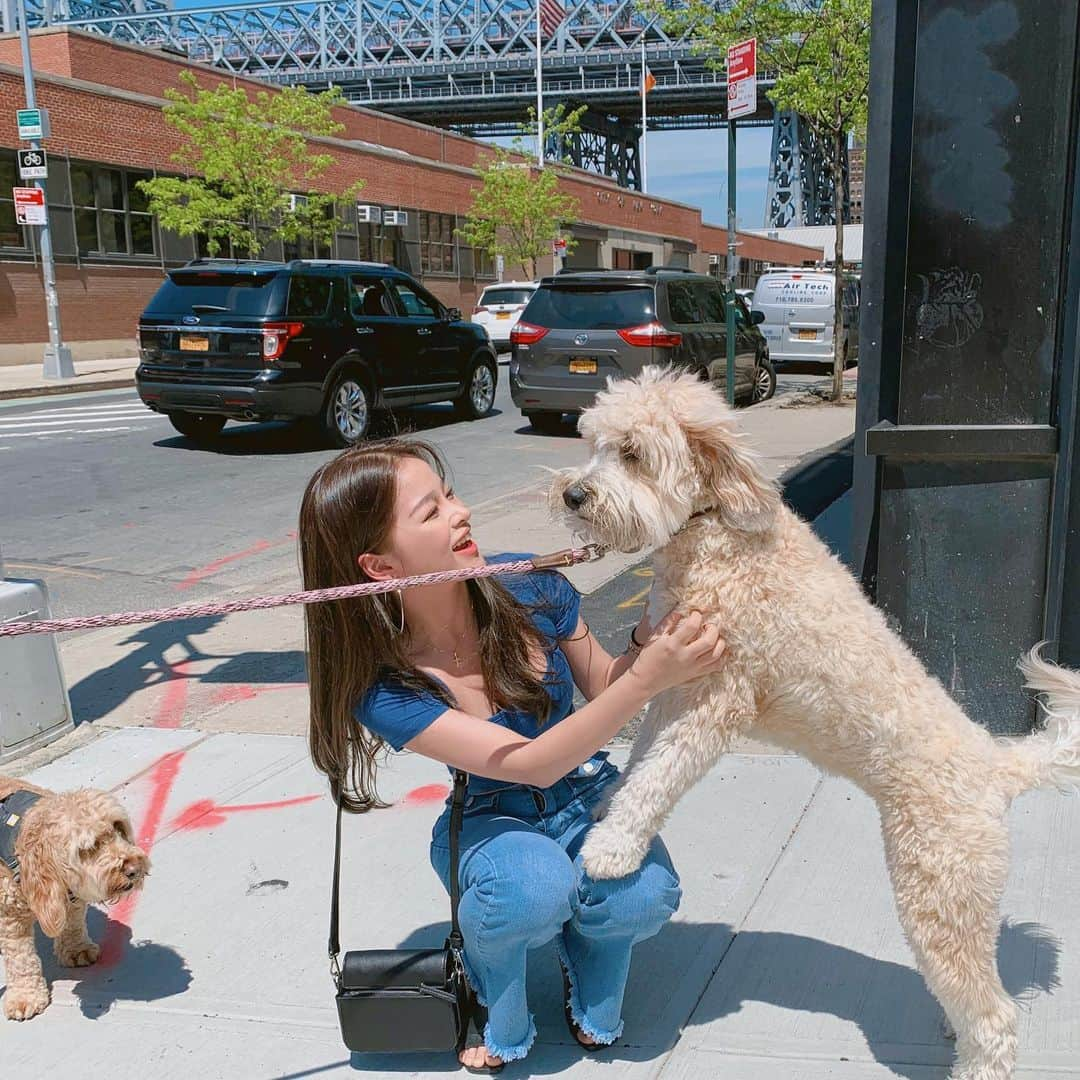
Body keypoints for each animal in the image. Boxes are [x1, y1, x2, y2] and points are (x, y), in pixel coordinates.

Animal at [0, 777, 150, 1019]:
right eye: (90, 847)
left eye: (118, 826)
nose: (134, 869)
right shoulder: (9, 916)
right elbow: (20, 958)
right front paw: (25, 997)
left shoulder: (74, 893)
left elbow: (73, 923)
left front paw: (76, 949)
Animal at [552, 367, 1080, 1080]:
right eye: (595, 443)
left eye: (632, 453)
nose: (574, 494)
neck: (714, 528)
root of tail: (996, 764)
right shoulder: (670, 680)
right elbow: (643, 758)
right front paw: (611, 803)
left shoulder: (719, 699)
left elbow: (661, 772)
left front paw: (611, 847)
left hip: (939, 889)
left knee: (995, 1014)